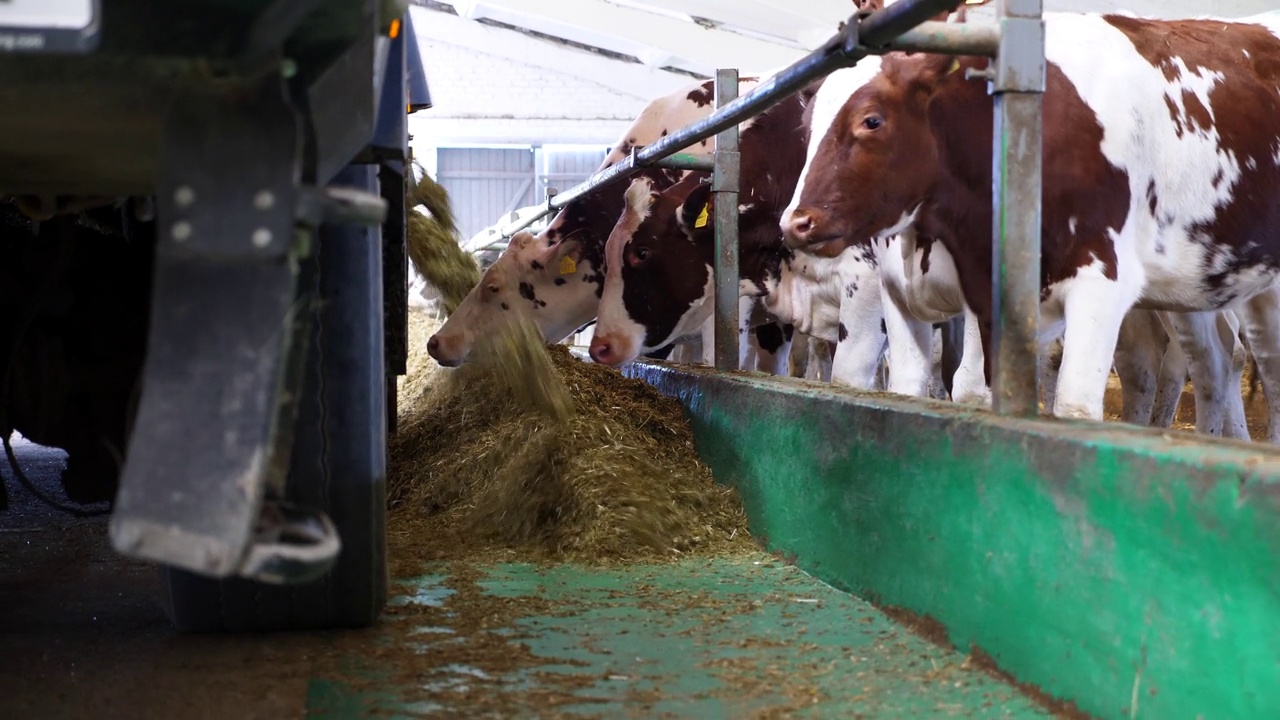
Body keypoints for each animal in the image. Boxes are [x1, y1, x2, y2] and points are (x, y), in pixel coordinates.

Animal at [778, 11, 1280, 427]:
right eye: (805, 126)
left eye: (872, 121)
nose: (796, 222)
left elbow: (1064, 405)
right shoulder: (920, 297)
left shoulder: (1101, 280)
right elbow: (920, 390)